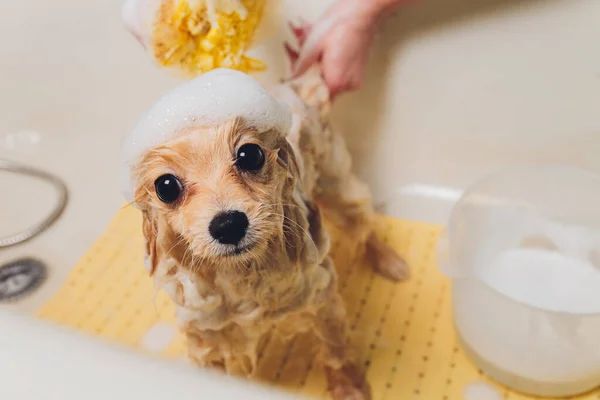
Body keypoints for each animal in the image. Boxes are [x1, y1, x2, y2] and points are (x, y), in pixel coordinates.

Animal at [117, 38, 408, 400]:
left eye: (249, 154)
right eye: (166, 186)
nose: (228, 224)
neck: (242, 277)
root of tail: (293, 85)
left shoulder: (321, 294)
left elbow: (336, 348)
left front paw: (350, 387)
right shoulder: (205, 335)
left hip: (335, 182)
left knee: (363, 224)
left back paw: (389, 262)